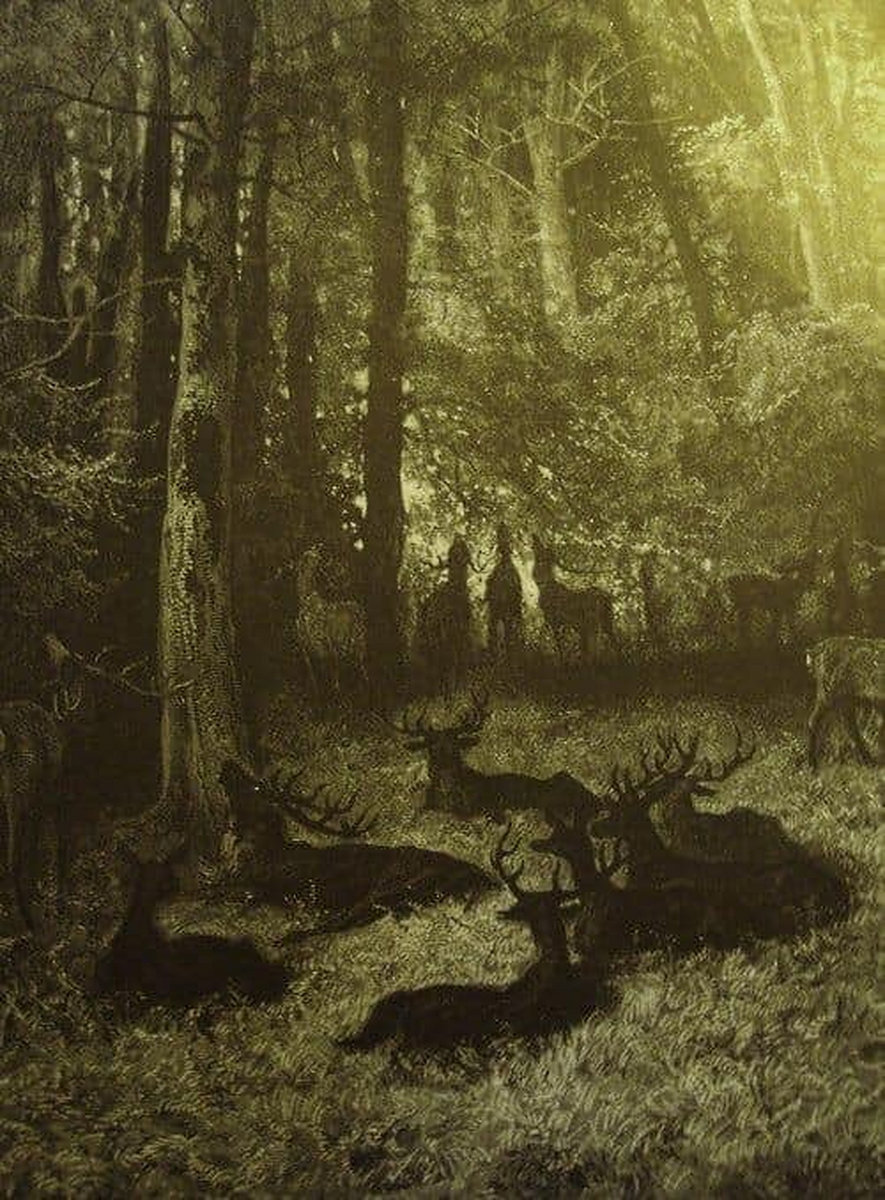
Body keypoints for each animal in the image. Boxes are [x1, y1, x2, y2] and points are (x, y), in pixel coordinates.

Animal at [806, 636, 885, 769]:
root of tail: (815, 651)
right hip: (829, 695)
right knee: (815, 721)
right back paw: (813, 764)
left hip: (844, 700)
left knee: (847, 728)